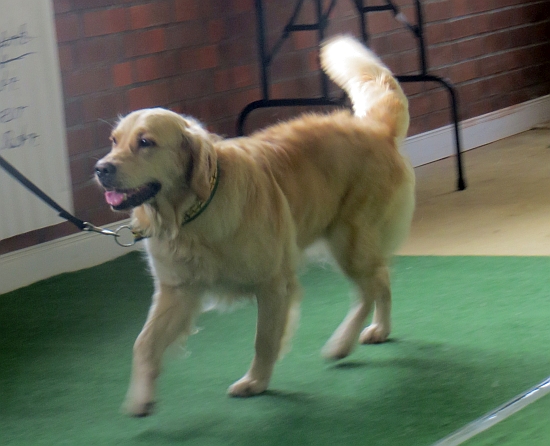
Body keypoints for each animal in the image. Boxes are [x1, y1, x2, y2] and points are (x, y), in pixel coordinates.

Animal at [95, 35, 415, 417]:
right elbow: (143, 343)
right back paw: (379, 329)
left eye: (146, 142)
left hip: (348, 239)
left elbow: (264, 340)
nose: (101, 168)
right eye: (114, 140)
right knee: (381, 280)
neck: (192, 214)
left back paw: (343, 341)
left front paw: (255, 382)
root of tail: (375, 128)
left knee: (373, 284)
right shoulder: (178, 289)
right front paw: (141, 397)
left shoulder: (273, 284)